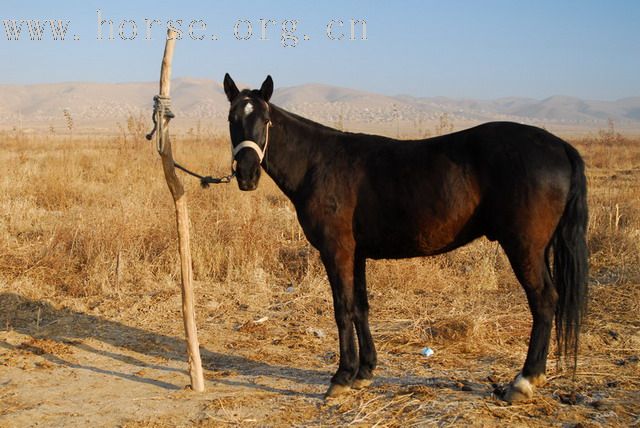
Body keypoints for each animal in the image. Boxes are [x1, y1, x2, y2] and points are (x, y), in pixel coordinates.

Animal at [222, 74, 588, 402]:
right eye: (231, 118)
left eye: (265, 119)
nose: (247, 175)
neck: (319, 163)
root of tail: (560, 146)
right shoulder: (356, 253)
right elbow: (361, 307)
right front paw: (364, 372)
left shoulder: (336, 250)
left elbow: (342, 308)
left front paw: (342, 377)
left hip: (524, 247)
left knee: (544, 300)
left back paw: (524, 381)